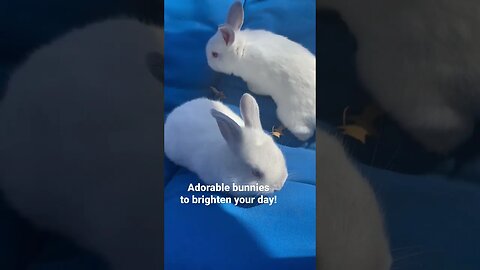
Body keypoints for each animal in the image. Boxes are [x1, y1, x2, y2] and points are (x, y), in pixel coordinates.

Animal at [205, 1, 316, 141]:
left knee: (304, 133)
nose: (208, 62)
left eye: (214, 54)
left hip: (290, 114)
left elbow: (253, 88)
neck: (241, 50)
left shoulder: (257, 80)